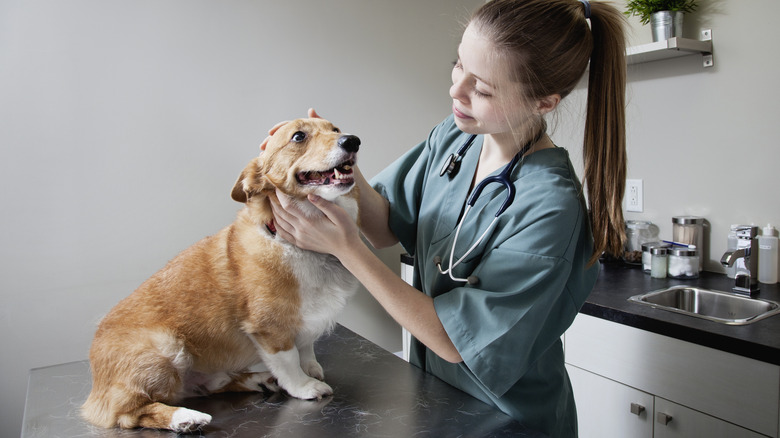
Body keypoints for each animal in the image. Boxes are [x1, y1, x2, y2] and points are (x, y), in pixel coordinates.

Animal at [80, 117, 362, 432]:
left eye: (335, 129)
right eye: (298, 136)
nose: (353, 141)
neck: (300, 246)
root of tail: (95, 390)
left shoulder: (304, 319)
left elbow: (306, 346)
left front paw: (310, 367)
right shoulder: (270, 328)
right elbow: (289, 361)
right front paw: (306, 386)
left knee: (209, 385)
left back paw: (257, 380)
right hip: (166, 348)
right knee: (130, 413)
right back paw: (186, 418)